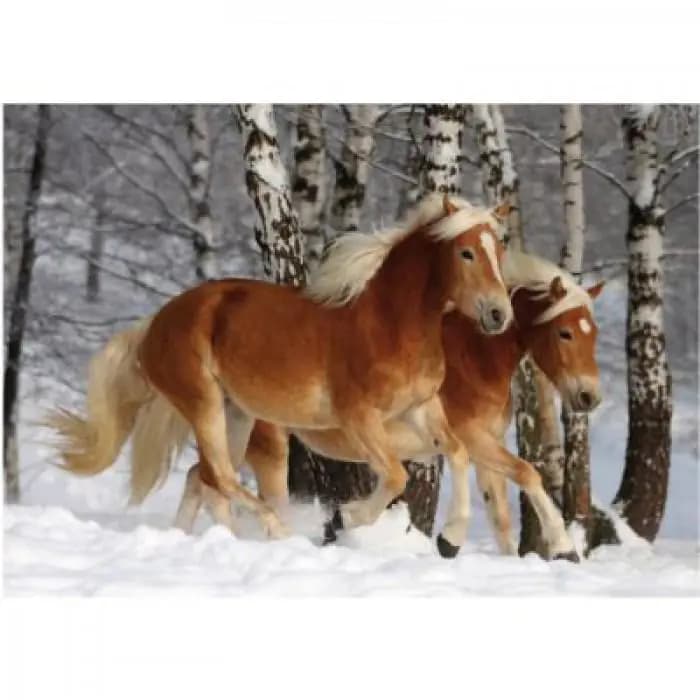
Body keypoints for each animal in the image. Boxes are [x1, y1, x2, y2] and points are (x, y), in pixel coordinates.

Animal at [46, 194, 513, 543]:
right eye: (466, 252)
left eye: (499, 251)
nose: (498, 315)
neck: (391, 324)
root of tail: (155, 323)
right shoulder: (358, 418)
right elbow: (397, 476)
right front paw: (349, 517)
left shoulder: (421, 408)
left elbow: (457, 451)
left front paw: (451, 538)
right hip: (205, 404)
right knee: (221, 477)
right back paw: (277, 530)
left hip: (236, 413)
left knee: (206, 477)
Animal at [175, 250, 604, 561]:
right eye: (565, 332)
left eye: (592, 332)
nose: (589, 397)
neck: (474, 358)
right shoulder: (474, 439)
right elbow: (529, 474)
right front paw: (563, 547)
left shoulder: (485, 447)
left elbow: (500, 515)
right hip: (267, 448)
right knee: (225, 486)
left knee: (200, 477)